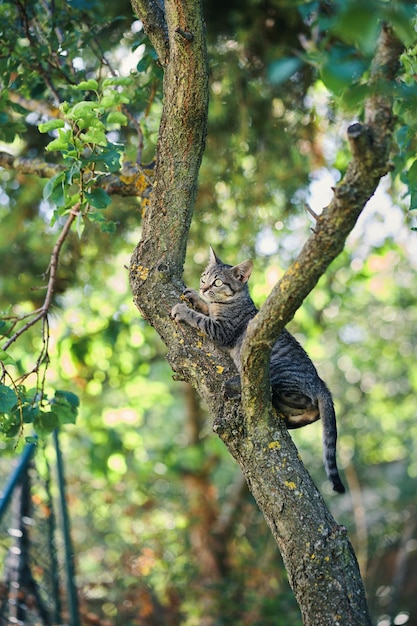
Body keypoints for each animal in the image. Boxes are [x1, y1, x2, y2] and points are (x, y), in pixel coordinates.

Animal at [171, 245, 346, 492]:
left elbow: (200, 318)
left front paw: (185, 309)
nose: (204, 287)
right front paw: (194, 296)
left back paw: (241, 386)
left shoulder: (221, 330)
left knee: (303, 401)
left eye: (217, 282)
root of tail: (321, 383)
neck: (232, 301)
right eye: (204, 277)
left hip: (282, 378)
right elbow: (205, 308)